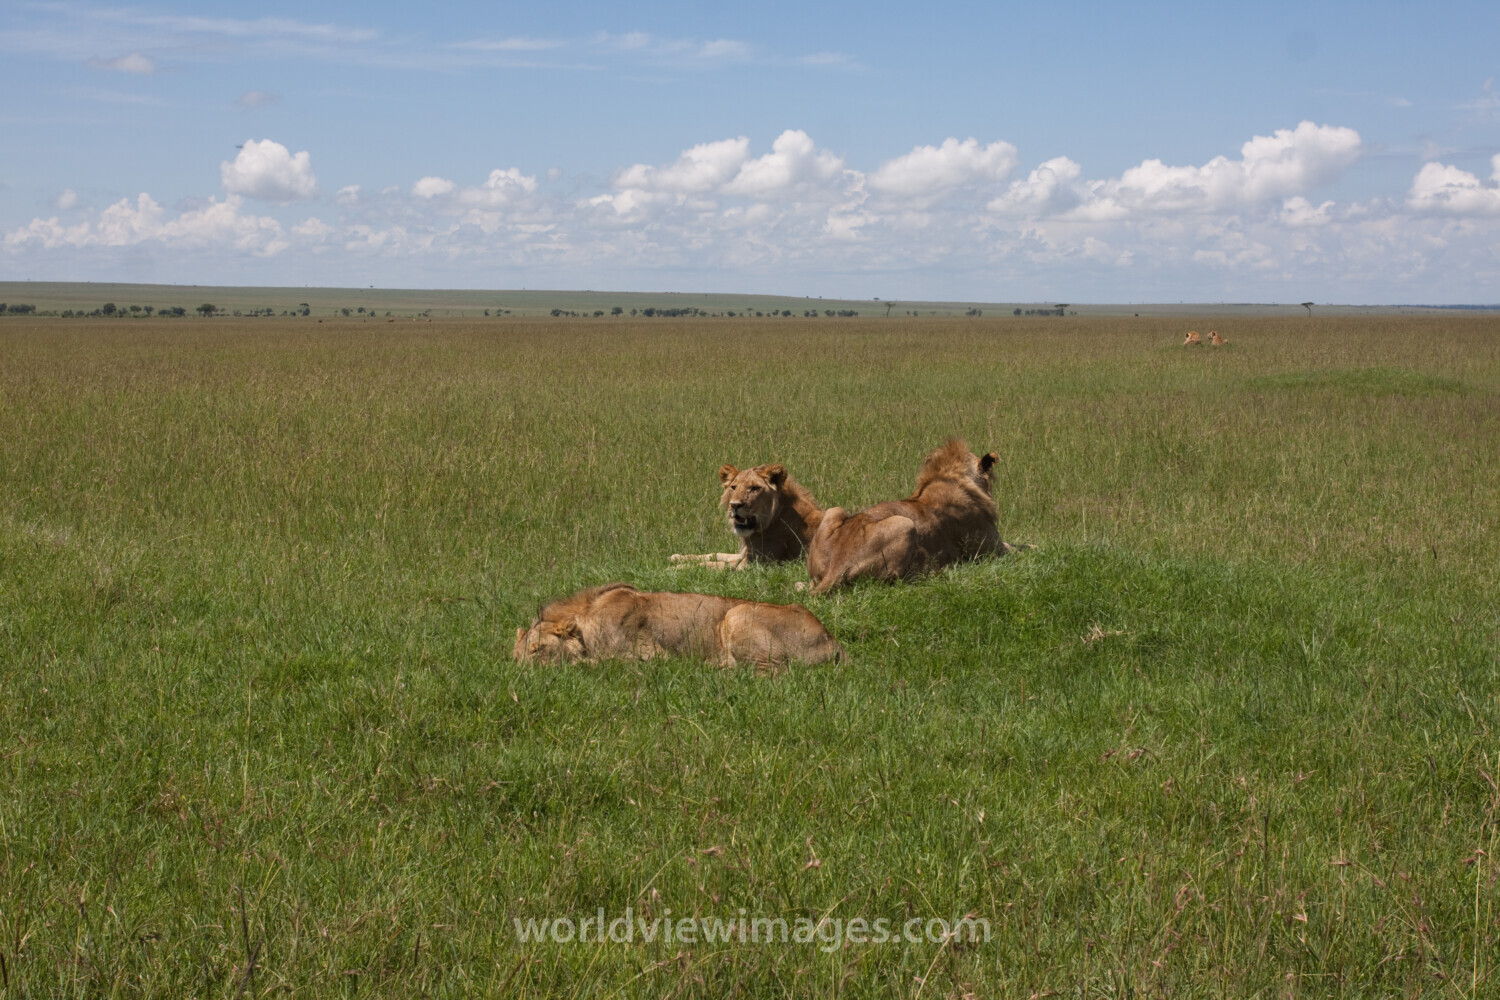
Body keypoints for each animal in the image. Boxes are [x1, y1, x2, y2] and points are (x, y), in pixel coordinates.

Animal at [513, 583, 845, 671]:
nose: (519, 675)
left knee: (775, 672)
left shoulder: (650, 655)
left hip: (737, 613)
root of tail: (832, 638)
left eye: (538, 650)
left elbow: (605, 661)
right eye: (515, 657)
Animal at [670, 463, 824, 570]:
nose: (734, 505)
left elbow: (716, 564)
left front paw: (680, 568)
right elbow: (717, 554)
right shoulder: (745, 554)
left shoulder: (757, 563)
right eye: (734, 487)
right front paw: (678, 557)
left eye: (755, 488)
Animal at [805, 439, 1017, 595]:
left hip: (834, 510)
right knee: (895, 580)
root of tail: (835, 568)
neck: (950, 478)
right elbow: (1021, 549)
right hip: (904, 523)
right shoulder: (992, 551)